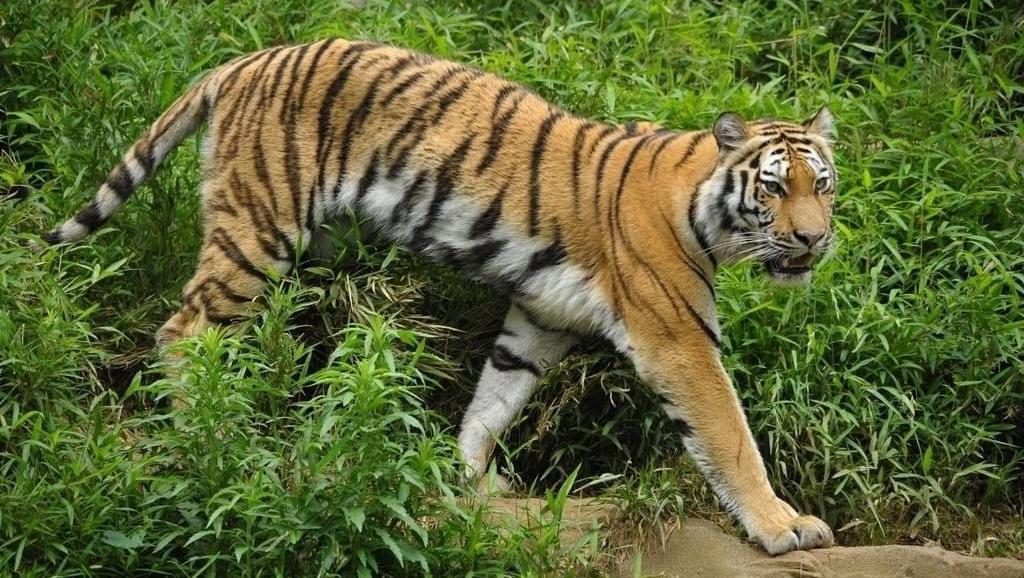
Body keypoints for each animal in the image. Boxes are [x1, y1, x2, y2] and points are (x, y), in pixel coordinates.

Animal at [42, 39, 838, 555]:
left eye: (822, 185)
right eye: (774, 188)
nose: (814, 239)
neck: (703, 212)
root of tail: (242, 61)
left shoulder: (541, 316)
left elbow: (495, 397)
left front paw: (470, 483)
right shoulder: (677, 338)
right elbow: (729, 435)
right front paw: (784, 526)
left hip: (310, 252)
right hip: (258, 230)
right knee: (186, 330)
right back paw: (214, 439)